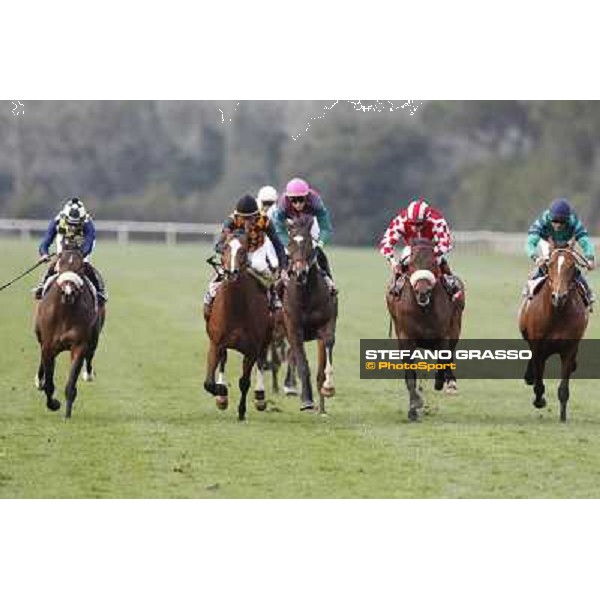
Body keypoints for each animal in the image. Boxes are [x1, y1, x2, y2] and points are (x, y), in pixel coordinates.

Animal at [33, 244, 105, 418]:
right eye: (60, 265)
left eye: (81, 268)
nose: (68, 292)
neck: (65, 313)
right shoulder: (48, 346)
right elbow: (49, 383)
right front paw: (53, 404)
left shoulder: (79, 345)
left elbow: (71, 382)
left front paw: (67, 413)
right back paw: (39, 380)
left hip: (94, 338)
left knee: (90, 355)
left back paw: (88, 374)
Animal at [205, 232, 274, 420]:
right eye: (224, 248)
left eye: (243, 250)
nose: (231, 273)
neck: (236, 308)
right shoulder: (216, 343)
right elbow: (209, 383)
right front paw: (221, 393)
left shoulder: (251, 349)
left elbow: (244, 382)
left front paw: (242, 411)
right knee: (223, 360)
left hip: (266, 338)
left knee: (261, 361)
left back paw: (260, 397)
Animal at [282, 214, 338, 412]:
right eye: (290, 243)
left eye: (308, 243)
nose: (300, 272)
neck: (306, 295)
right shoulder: (293, 328)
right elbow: (302, 363)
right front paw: (306, 399)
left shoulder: (327, 324)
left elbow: (326, 354)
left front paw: (328, 388)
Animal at [384, 239, 464, 422]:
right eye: (411, 264)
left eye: (434, 263)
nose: (422, 291)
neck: (424, 309)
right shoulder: (405, 338)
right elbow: (410, 376)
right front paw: (414, 408)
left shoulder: (443, 335)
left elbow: (443, 360)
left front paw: (441, 382)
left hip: (456, 327)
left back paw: (450, 382)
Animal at [516, 243, 588, 422]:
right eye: (550, 265)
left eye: (572, 267)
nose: (559, 296)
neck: (557, 314)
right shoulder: (538, 347)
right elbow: (539, 381)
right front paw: (539, 400)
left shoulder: (569, 349)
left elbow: (564, 387)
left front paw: (562, 416)